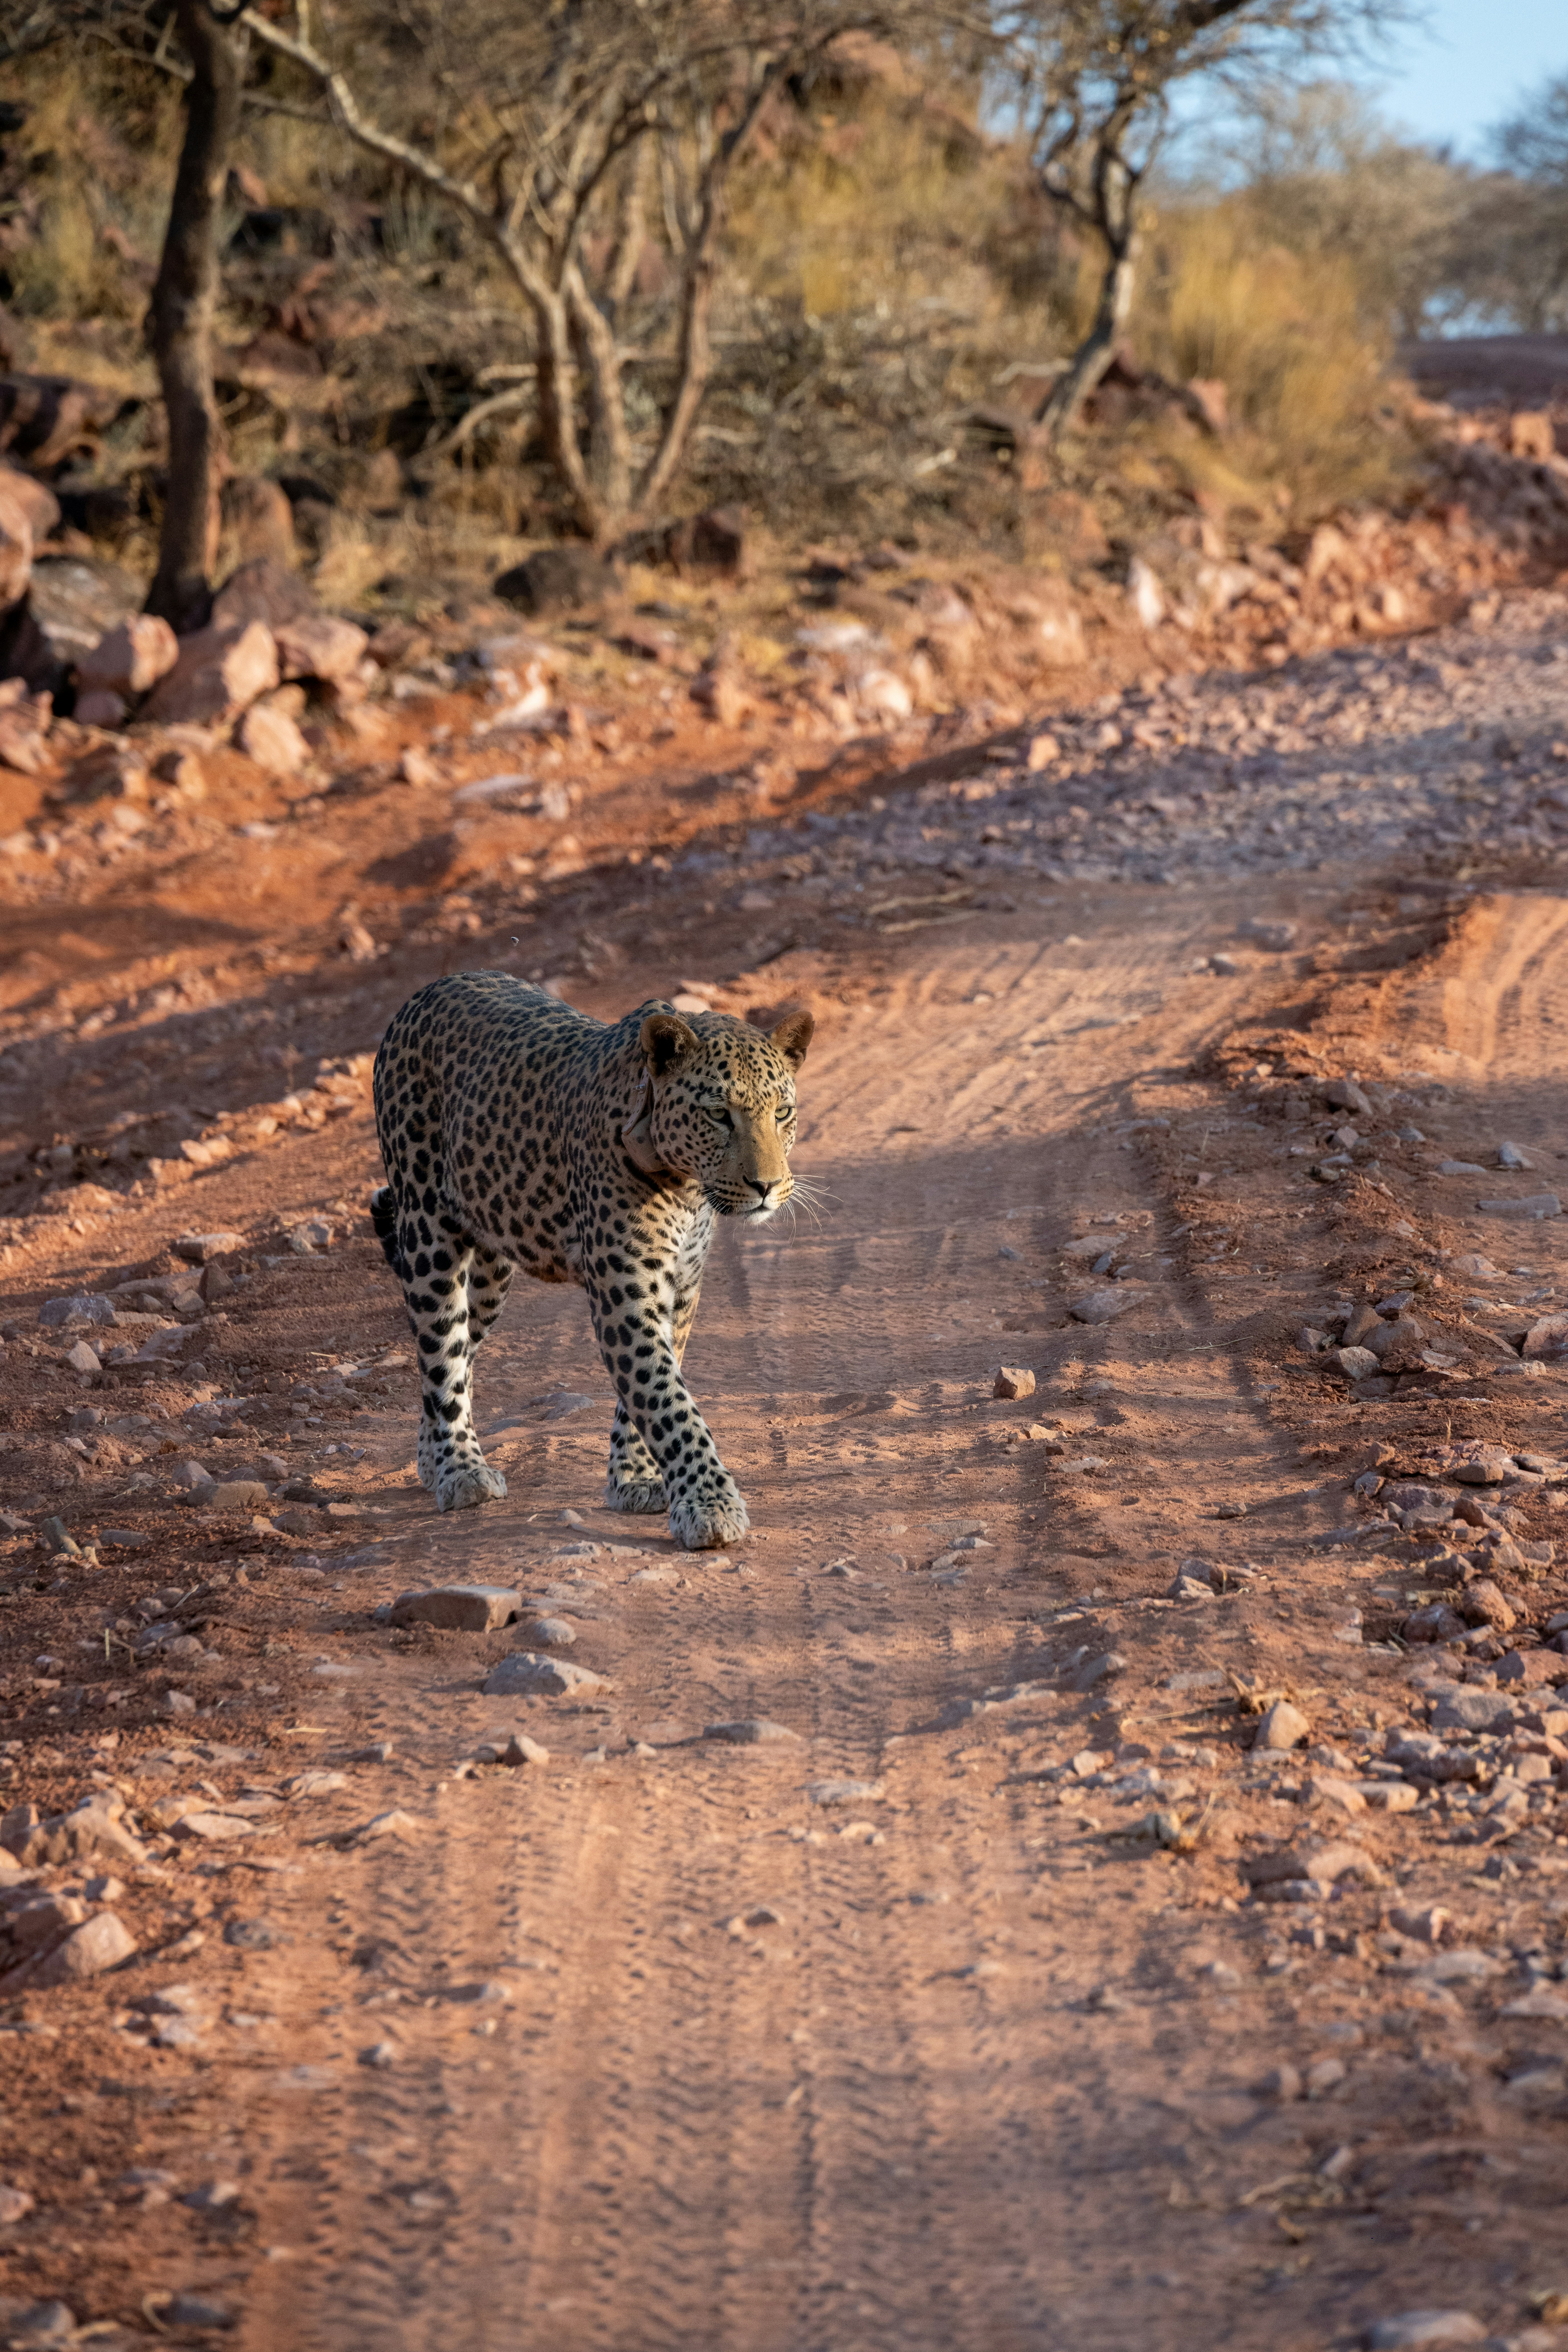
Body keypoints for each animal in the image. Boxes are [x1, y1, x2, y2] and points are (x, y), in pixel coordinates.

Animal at [369, 971, 813, 1550]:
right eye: (718, 1115)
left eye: (782, 1113)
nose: (767, 1186)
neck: (687, 1187)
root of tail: (425, 991)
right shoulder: (625, 1290)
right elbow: (667, 1399)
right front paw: (710, 1504)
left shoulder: (680, 1288)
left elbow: (650, 1388)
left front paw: (637, 1479)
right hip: (428, 1231)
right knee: (441, 1350)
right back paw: (459, 1468)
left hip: (490, 1271)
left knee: (458, 1352)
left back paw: (429, 1457)